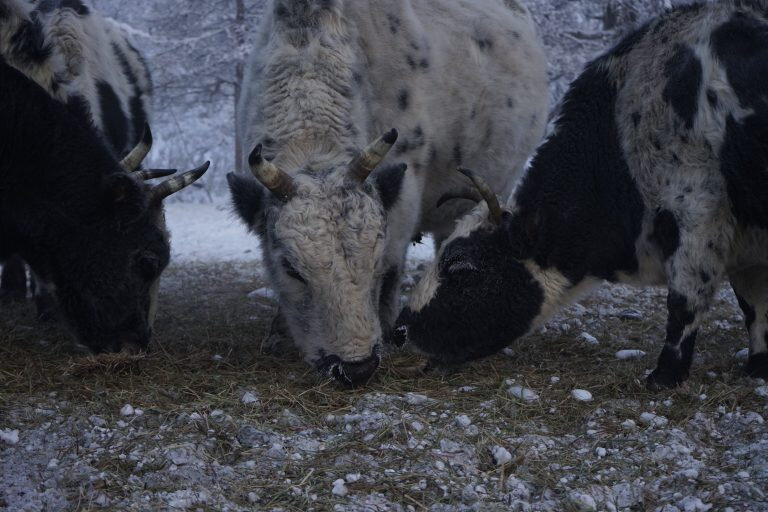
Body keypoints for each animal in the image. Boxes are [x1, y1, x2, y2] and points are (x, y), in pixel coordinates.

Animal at [226, 0, 544, 384]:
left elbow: (393, 268)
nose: (354, 367)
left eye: (373, 260)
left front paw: (390, 327)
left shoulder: (403, 196)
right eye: (291, 268)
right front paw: (276, 336)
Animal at [392, 0, 768, 390]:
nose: (400, 330)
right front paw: (759, 366)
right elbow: (754, 305)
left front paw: (663, 376)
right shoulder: (747, 248)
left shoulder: (696, 216)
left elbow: (685, 302)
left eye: (462, 266)